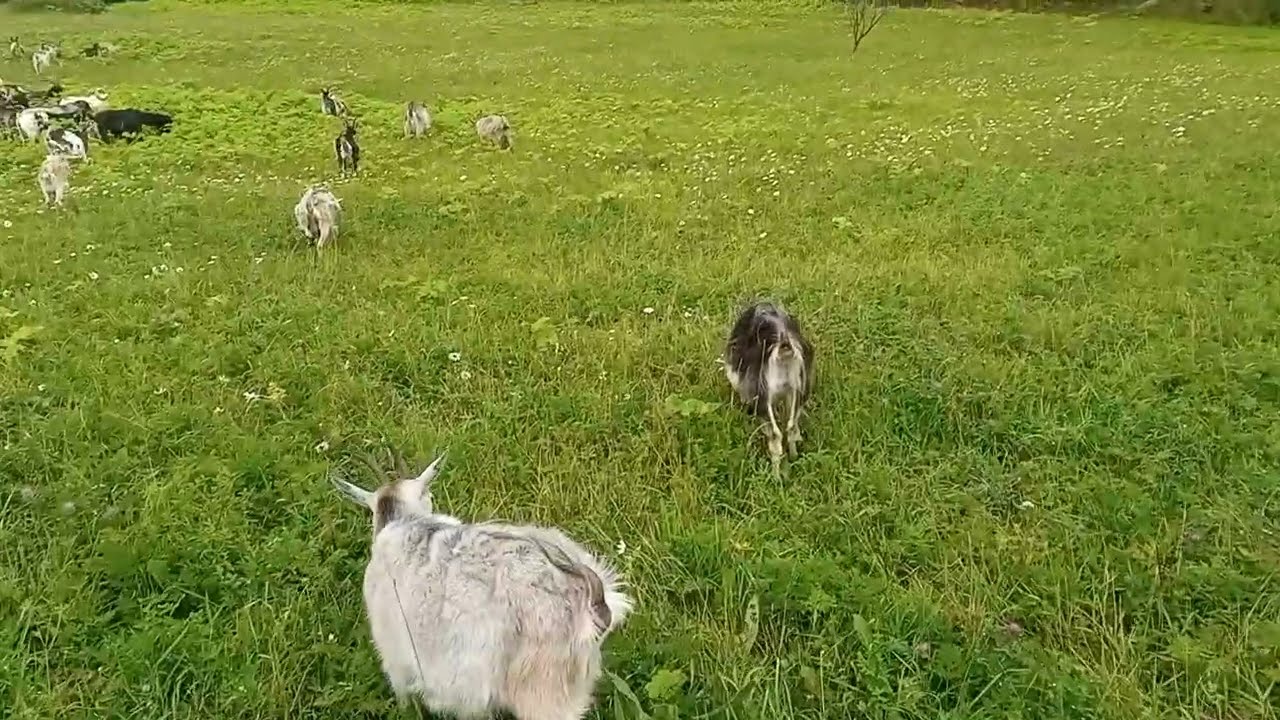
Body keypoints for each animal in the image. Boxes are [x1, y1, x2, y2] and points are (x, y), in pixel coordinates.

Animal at [723, 300, 815, 478]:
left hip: (763, 394)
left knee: (775, 434)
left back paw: (775, 476)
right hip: (797, 388)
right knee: (791, 427)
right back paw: (794, 457)